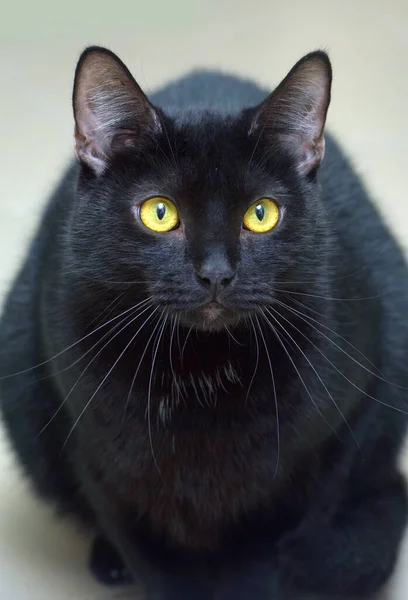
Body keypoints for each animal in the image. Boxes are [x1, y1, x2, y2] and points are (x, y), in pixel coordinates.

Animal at [0, 47, 408, 600]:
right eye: (159, 213)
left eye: (261, 214)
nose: (216, 272)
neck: (202, 373)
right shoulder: (103, 463)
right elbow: (161, 567)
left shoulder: (316, 456)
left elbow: (258, 570)